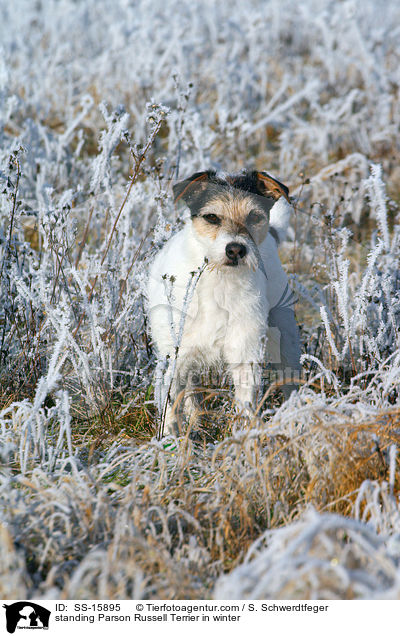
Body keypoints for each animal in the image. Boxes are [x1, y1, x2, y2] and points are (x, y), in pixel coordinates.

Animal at [146, 169, 300, 438]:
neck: (217, 282)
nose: (236, 249)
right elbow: (171, 403)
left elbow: (246, 401)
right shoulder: (173, 358)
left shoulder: (245, 353)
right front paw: (170, 439)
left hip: (286, 337)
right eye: (211, 217)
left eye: (254, 216)